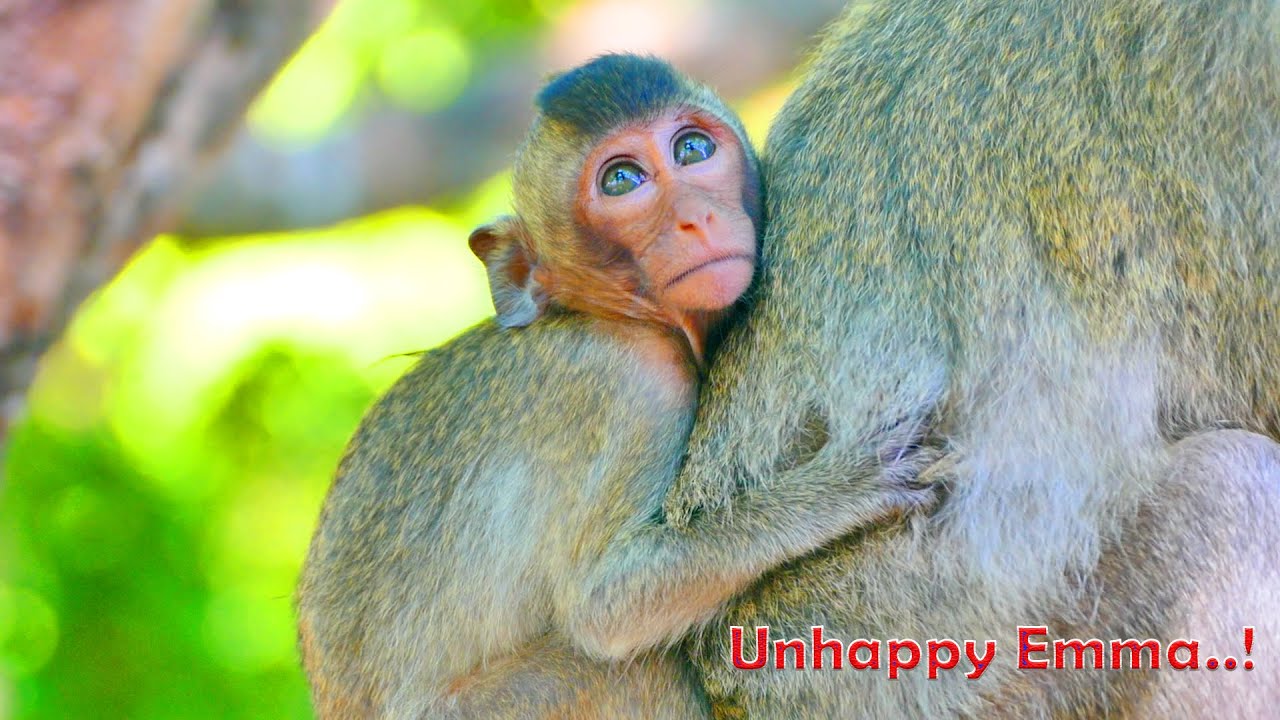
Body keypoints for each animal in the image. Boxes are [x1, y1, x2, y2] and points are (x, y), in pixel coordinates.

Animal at [295, 54, 937, 720]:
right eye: (622, 181)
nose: (696, 217)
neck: (603, 312)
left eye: (693, 148)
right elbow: (605, 604)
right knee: (629, 664)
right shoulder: (634, 380)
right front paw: (841, 489)